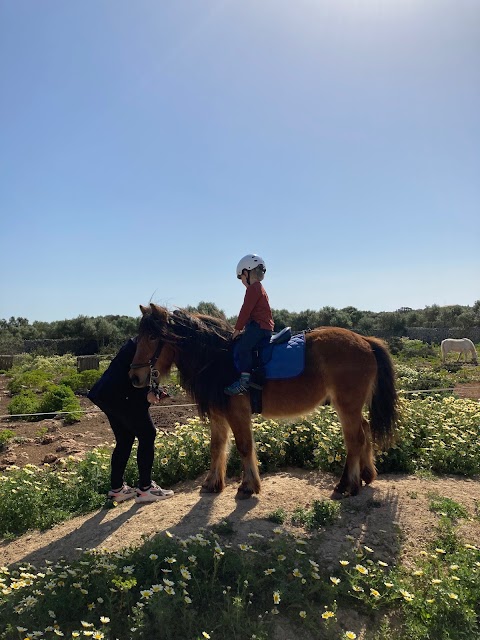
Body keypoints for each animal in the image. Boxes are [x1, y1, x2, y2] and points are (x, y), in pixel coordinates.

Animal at [127, 304, 398, 500]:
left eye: (152, 336)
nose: (134, 377)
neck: (218, 358)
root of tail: (366, 340)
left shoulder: (238, 413)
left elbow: (244, 446)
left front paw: (248, 486)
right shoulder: (218, 415)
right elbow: (216, 447)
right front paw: (213, 483)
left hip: (347, 406)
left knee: (355, 439)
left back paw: (347, 485)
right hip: (352, 407)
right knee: (364, 430)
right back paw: (366, 474)